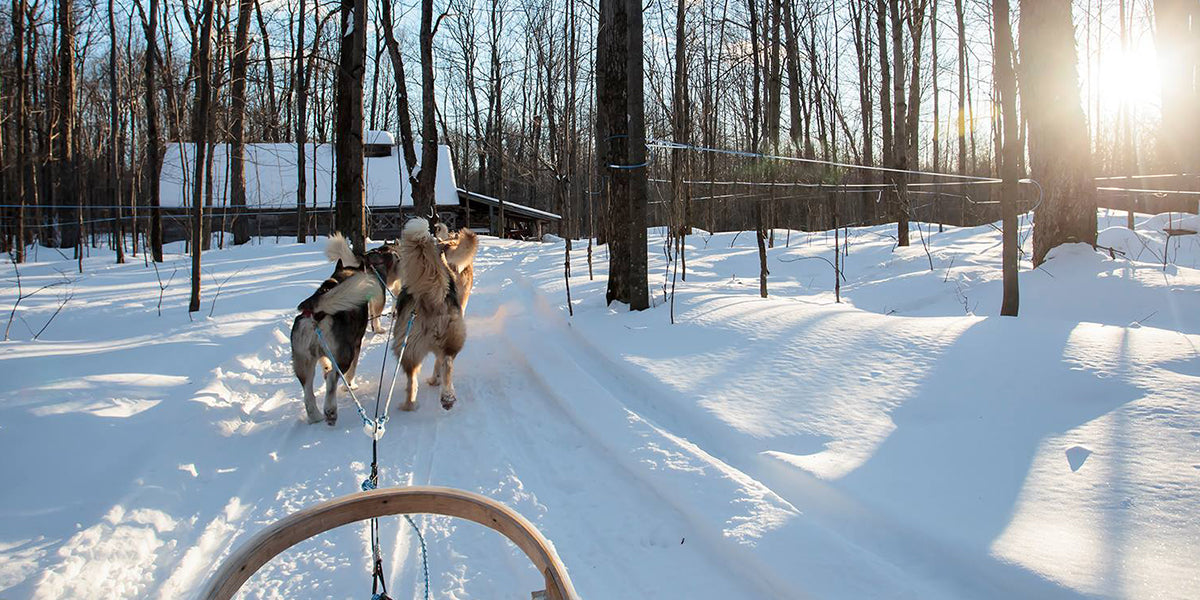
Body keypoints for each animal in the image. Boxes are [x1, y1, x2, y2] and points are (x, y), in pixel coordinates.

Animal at [396, 218, 465, 410]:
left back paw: (410, 404)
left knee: (415, 377)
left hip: (409, 347)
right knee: (444, 363)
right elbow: (438, 363)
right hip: (446, 340)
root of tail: (432, 300)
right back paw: (445, 397)